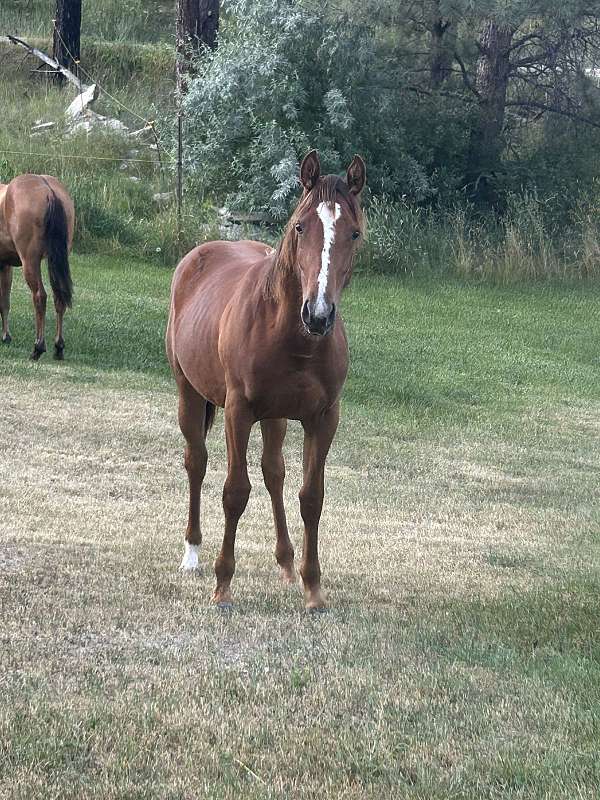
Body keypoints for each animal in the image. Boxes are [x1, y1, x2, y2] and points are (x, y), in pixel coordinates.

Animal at [0, 174, 74, 360]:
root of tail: (49, 190)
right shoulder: (5, 266)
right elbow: (4, 302)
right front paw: (6, 336)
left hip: (30, 261)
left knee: (40, 296)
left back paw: (38, 347)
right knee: (58, 298)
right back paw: (58, 347)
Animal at [166, 150, 366, 610]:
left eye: (354, 233)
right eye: (300, 226)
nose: (318, 314)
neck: (291, 336)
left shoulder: (323, 419)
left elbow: (311, 497)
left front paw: (313, 588)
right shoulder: (238, 413)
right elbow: (235, 492)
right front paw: (222, 586)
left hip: (275, 418)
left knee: (274, 472)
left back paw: (287, 563)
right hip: (190, 395)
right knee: (196, 462)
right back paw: (192, 553)